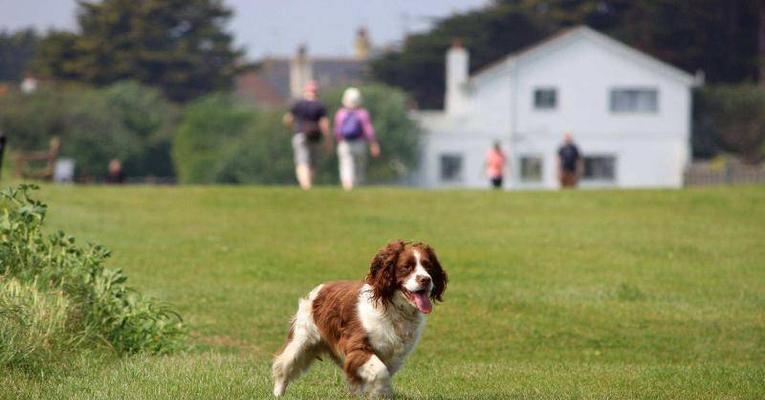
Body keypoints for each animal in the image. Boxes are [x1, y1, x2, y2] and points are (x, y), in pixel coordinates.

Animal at [272, 239, 444, 398]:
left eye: (429, 266)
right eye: (407, 267)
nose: (426, 279)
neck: (393, 309)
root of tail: (320, 288)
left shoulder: (393, 356)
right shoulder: (357, 347)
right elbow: (380, 372)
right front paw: (380, 393)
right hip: (301, 341)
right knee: (283, 367)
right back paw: (278, 393)